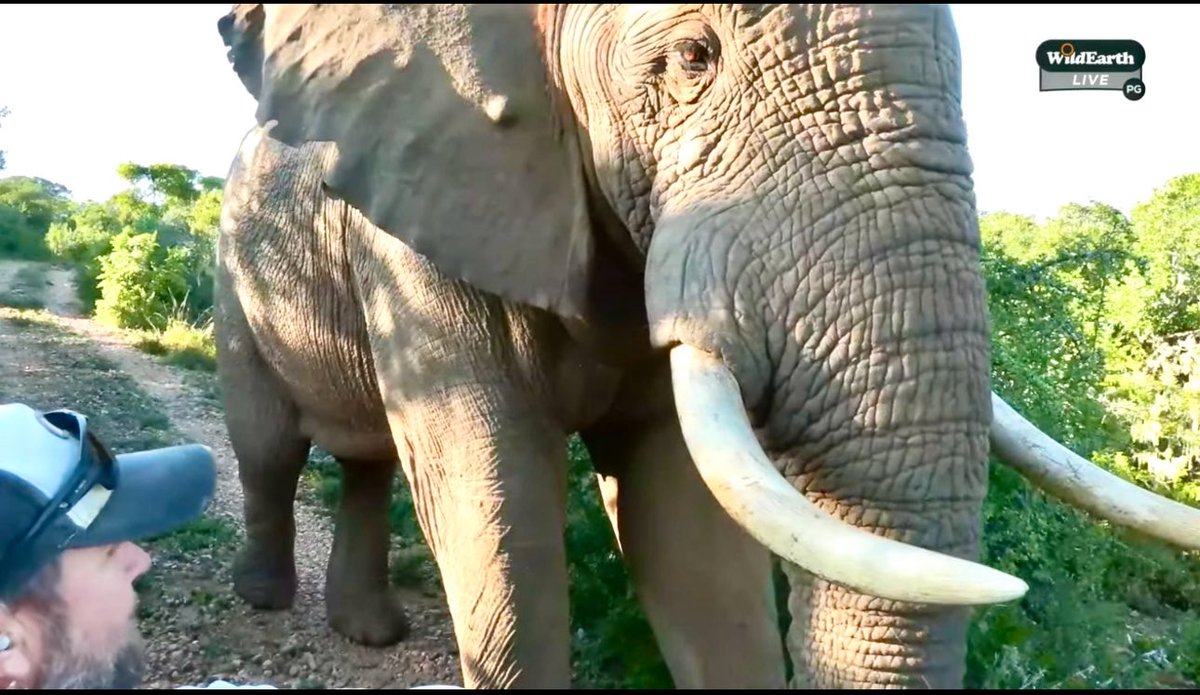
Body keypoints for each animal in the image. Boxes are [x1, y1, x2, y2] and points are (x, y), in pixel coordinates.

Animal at [210, 3, 1200, 689]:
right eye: (695, 57)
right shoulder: (426, 213)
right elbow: (494, 493)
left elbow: (685, 523)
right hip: (235, 268)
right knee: (268, 446)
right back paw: (262, 597)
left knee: (365, 459)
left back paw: (369, 632)